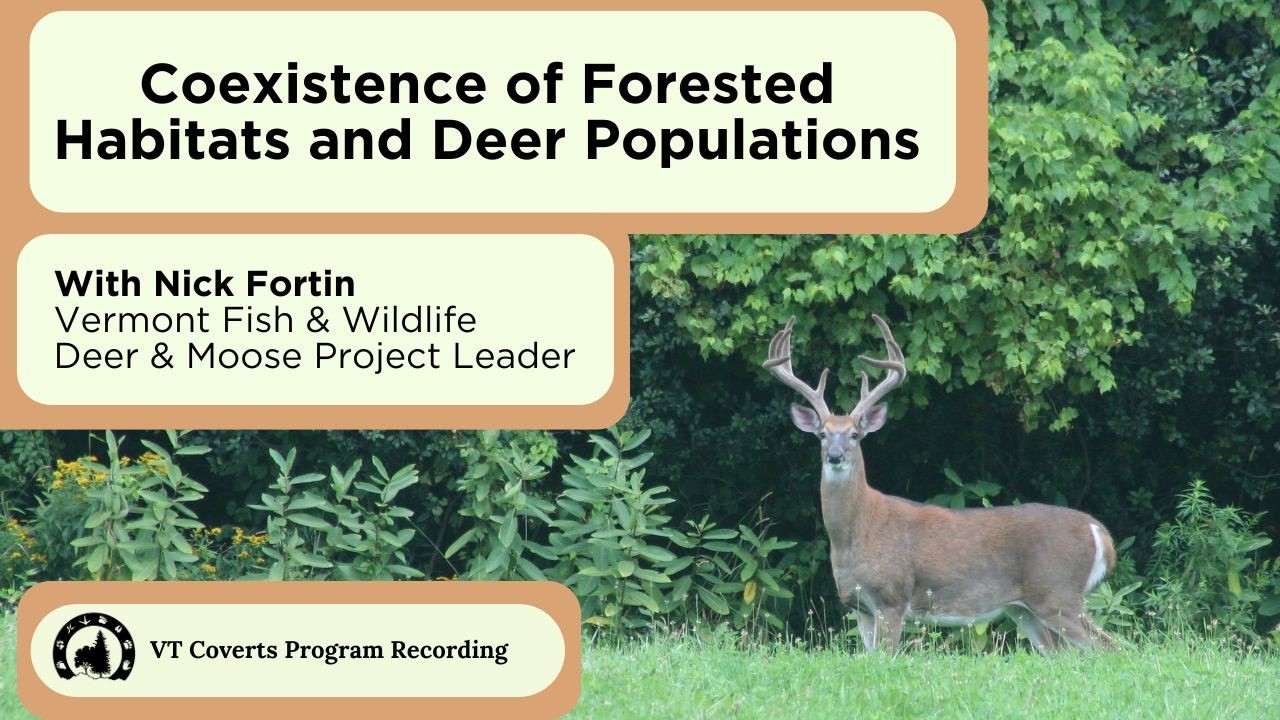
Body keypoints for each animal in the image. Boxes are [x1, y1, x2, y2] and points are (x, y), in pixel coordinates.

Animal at [763, 314, 1116, 655]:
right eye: (822, 434)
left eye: (854, 434)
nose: (835, 456)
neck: (857, 532)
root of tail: (1099, 532)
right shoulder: (860, 606)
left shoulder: (892, 596)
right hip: (1024, 608)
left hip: (1057, 593)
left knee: (1109, 648)